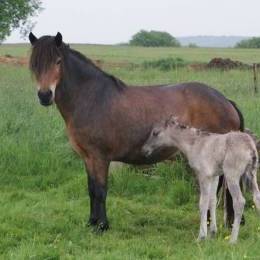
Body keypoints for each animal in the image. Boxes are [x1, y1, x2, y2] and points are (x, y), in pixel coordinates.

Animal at [28, 32, 244, 232]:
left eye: (58, 61)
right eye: (34, 64)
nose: (45, 95)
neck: (91, 98)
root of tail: (225, 101)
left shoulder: (100, 157)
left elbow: (101, 190)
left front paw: (102, 225)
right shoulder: (87, 158)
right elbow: (91, 189)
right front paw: (91, 222)